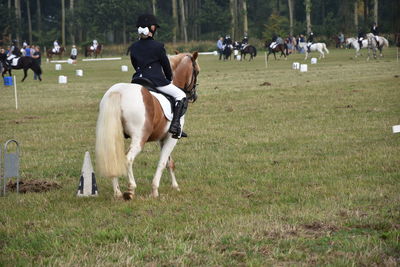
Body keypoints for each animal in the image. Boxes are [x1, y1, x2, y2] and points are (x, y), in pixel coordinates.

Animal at [94, 52, 200, 200]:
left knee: (113, 159)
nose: (193, 96)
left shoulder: (163, 137)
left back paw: (117, 192)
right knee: (128, 159)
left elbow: (169, 162)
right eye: (197, 71)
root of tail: (119, 92)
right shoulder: (172, 137)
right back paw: (130, 189)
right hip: (140, 138)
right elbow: (162, 162)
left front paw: (175, 186)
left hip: (113, 135)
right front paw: (155, 190)